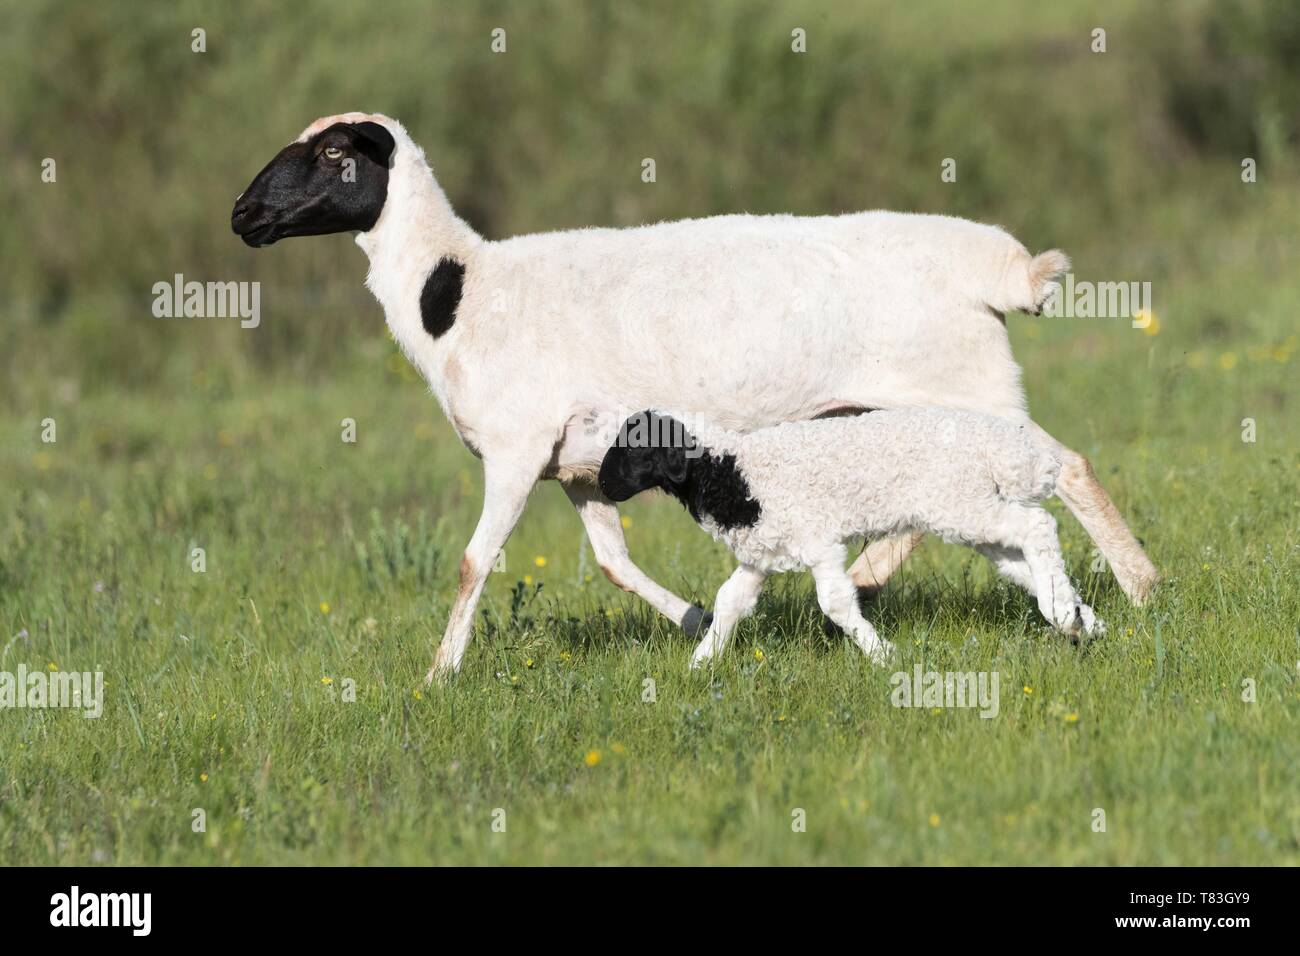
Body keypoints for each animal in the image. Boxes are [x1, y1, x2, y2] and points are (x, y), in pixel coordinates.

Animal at [597, 409, 1105, 666]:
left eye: (635, 447)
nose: (600, 484)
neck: (729, 469)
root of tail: (1005, 445)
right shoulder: (763, 552)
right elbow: (729, 602)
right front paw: (700, 664)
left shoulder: (818, 540)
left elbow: (836, 603)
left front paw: (882, 655)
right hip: (972, 511)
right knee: (1021, 559)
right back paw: (1082, 619)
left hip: (961, 503)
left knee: (1038, 526)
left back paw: (1062, 613)